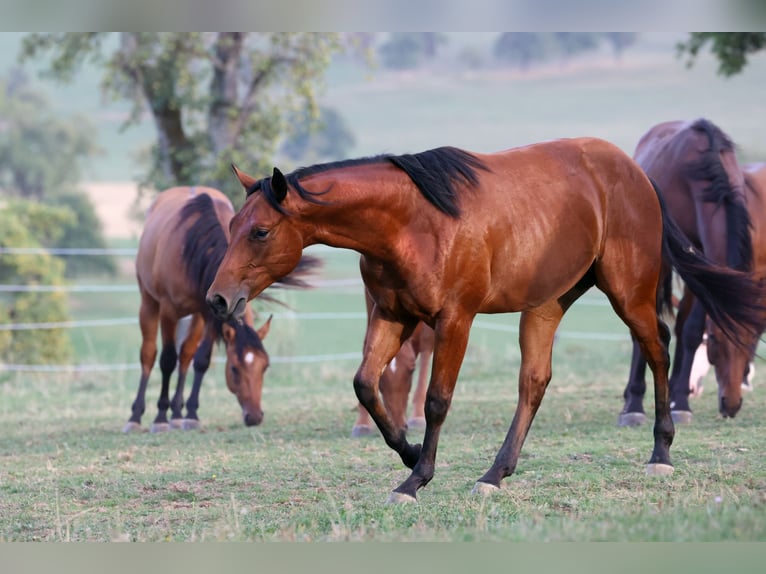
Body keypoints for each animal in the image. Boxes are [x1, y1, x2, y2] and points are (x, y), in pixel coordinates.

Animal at [124, 186, 317, 433]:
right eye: (234, 368)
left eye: (265, 366)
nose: (254, 416)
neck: (193, 246)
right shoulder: (168, 311)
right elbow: (167, 360)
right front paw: (159, 418)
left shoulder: (208, 312)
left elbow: (201, 360)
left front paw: (191, 415)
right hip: (149, 302)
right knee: (149, 354)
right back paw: (136, 417)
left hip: (196, 316)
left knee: (185, 355)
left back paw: (176, 414)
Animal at [352, 290, 434, 438]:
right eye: (379, 379)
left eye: (412, 370)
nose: (398, 426)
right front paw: (362, 422)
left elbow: (426, 344)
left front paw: (418, 416)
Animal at [619, 119, 764, 426]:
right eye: (717, 344)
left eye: (751, 342)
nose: (732, 404)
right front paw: (634, 405)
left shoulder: (704, 263)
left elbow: (692, 330)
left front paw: (681, 402)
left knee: (682, 324)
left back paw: (676, 393)